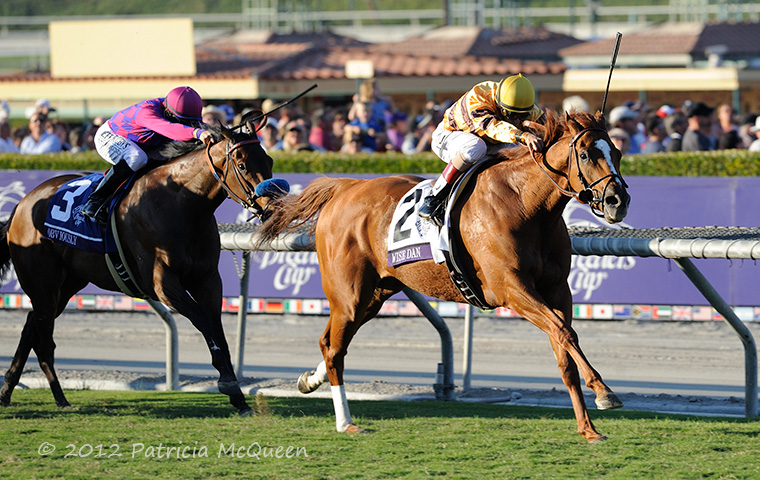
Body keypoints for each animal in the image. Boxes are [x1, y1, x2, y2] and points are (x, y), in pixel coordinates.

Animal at [0, 122, 280, 414]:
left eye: (269, 160)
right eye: (242, 165)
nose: (275, 208)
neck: (181, 204)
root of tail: (21, 204)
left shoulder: (207, 279)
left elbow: (217, 327)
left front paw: (237, 394)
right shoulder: (162, 283)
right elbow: (204, 321)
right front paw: (227, 383)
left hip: (66, 286)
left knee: (31, 325)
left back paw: (7, 391)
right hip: (44, 283)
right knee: (43, 339)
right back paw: (60, 398)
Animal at [258, 109, 632, 442]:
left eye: (616, 152)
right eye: (585, 154)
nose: (618, 201)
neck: (526, 205)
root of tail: (344, 188)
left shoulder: (556, 290)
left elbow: (564, 349)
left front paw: (588, 429)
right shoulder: (511, 289)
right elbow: (565, 332)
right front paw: (604, 391)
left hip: (376, 294)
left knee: (331, 342)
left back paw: (310, 380)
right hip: (349, 295)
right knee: (336, 349)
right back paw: (346, 422)